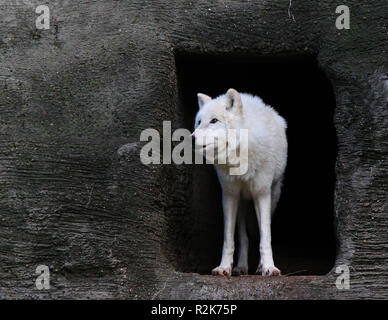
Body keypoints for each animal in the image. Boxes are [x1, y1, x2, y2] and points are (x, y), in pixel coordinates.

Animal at [192, 89, 286, 276]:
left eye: (214, 120)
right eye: (199, 122)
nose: (191, 138)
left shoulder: (262, 193)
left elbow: (265, 237)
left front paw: (269, 267)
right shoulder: (230, 195)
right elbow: (229, 239)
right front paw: (223, 267)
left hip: (271, 197)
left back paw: (259, 266)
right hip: (242, 203)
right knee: (243, 237)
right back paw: (241, 266)